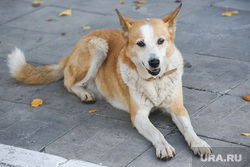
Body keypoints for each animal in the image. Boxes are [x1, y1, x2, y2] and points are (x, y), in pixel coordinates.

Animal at [7, 3, 212, 160]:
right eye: (141, 43)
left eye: (161, 41)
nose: (154, 62)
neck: (154, 81)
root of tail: (75, 47)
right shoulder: (138, 115)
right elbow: (157, 132)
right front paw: (164, 146)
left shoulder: (178, 108)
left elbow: (188, 128)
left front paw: (199, 143)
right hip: (98, 46)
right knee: (69, 83)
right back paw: (85, 93)